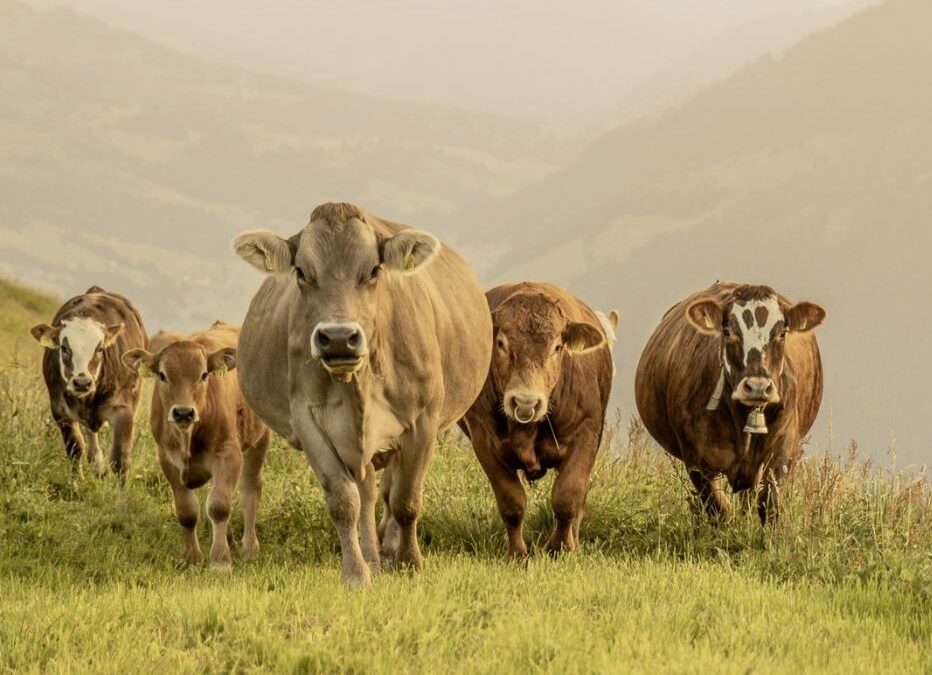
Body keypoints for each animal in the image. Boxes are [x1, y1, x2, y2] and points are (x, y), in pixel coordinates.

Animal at [30, 285, 148, 480]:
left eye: (99, 349)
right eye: (64, 348)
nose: (82, 383)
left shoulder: (123, 410)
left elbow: (120, 460)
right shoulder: (59, 409)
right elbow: (75, 448)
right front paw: (76, 481)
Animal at [122, 321, 270, 570]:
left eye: (203, 374)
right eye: (162, 375)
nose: (183, 412)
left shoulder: (228, 454)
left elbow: (219, 507)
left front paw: (220, 561)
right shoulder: (167, 458)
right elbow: (187, 511)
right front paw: (192, 558)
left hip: (259, 440)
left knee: (250, 489)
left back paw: (250, 548)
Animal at [231, 202, 492, 587]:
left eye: (372, 270)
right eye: (302, 272)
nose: (339, 338)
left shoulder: (423, 422)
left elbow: (406, 500)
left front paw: (410, 562)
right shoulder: (309, 422)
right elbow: (344, 502)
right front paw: (356, 573)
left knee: (388, 490)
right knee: (367, 492)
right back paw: (372, 556)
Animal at [460, 282, 616, 557]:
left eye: (557, 347)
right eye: (500, 343)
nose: (525, 402)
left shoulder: (586, 433)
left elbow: (567, 497)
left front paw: (561, 547)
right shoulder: (484, 441)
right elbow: (512, 504)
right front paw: (517, 553)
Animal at [635, 282, 826, 524]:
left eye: (782, 333)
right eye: (728, 332)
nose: (757, 386)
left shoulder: (783, 447)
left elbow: (769, 501)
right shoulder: (696, 459)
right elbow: (718, 508)